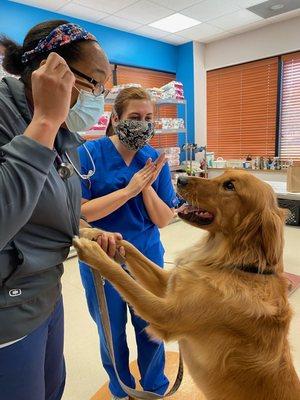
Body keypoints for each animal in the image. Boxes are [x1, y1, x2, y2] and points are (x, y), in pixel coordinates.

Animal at [74, 170, 300, 398]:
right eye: (223, 175)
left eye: (229, 186)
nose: (181, 179)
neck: (232, 264)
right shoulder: (168, 284)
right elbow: (129, 246)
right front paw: (95, 234)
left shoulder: (165, 315)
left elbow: (121, 276)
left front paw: (93, 252)